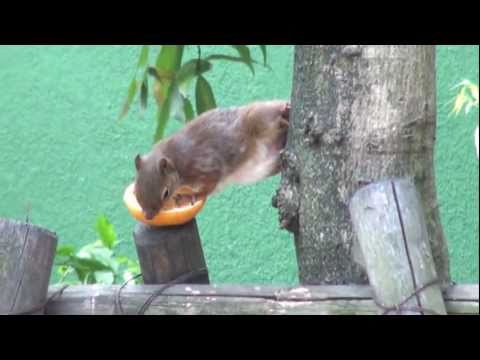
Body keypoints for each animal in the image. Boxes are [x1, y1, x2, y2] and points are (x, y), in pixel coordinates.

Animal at [132, 100, 288, 221]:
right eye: (136, 189)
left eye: (165, 193)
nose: (148, 216)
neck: (175, 160)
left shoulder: (203, 166)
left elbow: (209, 186)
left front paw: (194, 195)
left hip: (259, 119)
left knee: (272, 114)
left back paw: (284, 113)